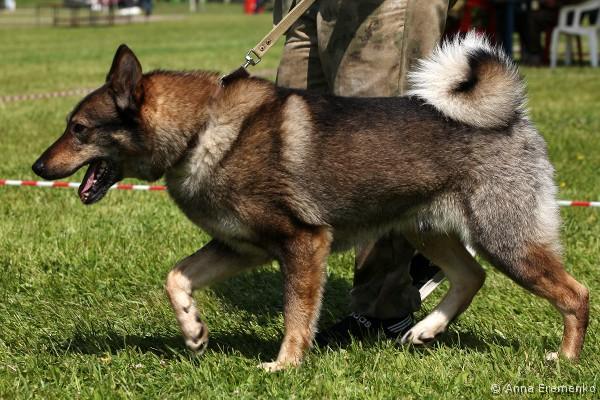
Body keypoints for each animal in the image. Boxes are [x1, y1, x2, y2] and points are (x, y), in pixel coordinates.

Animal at [32, 33, 589, 371]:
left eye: (78, 129)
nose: (37, 167)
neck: (202, 131)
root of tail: (512, 117)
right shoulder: (241, 248)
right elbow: (177, 277)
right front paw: (192, 330)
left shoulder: (303, 243)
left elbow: (297, 315)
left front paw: (285, 365)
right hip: (426, 229)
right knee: (472, 276)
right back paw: (426, 330)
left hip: (506, 240)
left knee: (575, 294)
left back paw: (565, 358)